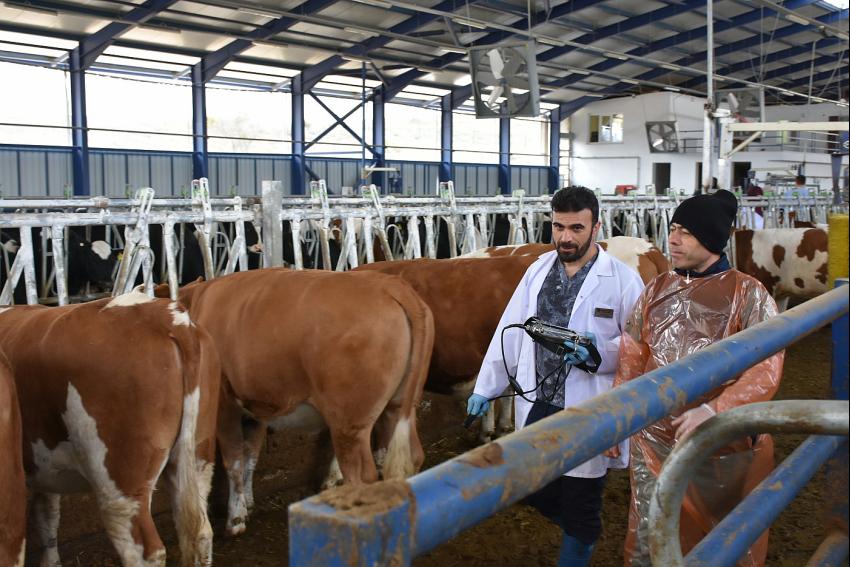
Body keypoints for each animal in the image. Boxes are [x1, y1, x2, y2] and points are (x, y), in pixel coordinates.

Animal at [0, 292, 222, 567]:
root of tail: (167, 316)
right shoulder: (43, 466)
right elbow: (47, 514)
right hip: (196, 456)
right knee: (200, 532)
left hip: (120, 484)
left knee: (144, 550)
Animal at [158, 270, 434, 536]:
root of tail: (391, 285)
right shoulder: (257, 409)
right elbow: (250, 457)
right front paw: (248, 503)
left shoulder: (225, 406)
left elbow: (234, 461)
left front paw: (235, 519)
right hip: (398, 407)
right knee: (410, 457)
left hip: (350, 424)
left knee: (362, 475)